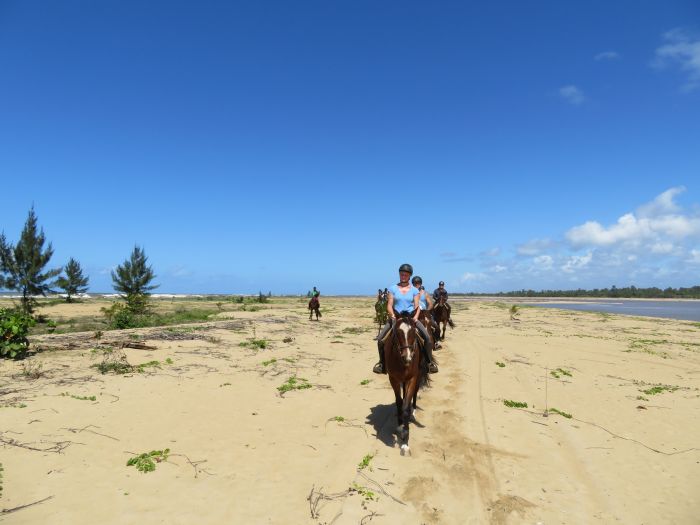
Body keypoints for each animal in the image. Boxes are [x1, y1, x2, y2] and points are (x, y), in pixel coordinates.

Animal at [386, 314, 430, 452]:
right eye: (398, 333)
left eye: (413, 332)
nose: (408, 357)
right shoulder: (393, 378)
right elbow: (399, 402)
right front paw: (400, 426)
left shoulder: (412, 378)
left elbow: (405, 407)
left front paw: (405, 442)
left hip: (419, 374)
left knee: (414, 393)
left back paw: (413, 412)